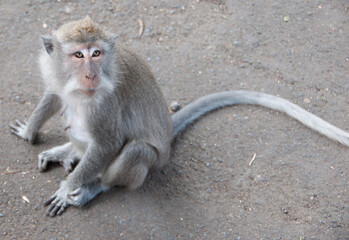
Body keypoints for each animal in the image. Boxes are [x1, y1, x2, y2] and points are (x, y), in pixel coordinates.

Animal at [9, 15, 346, 217]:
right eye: (78, 54)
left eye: (97, 53)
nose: (91, 75)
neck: (79, 88)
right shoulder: (57, 78)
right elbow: (54, 97)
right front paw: (30, 131)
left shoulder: (105, 103)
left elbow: (108, 144)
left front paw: (68, 189)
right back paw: (68, 152)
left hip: (151, 159)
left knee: (135, 150)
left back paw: (94, 185)